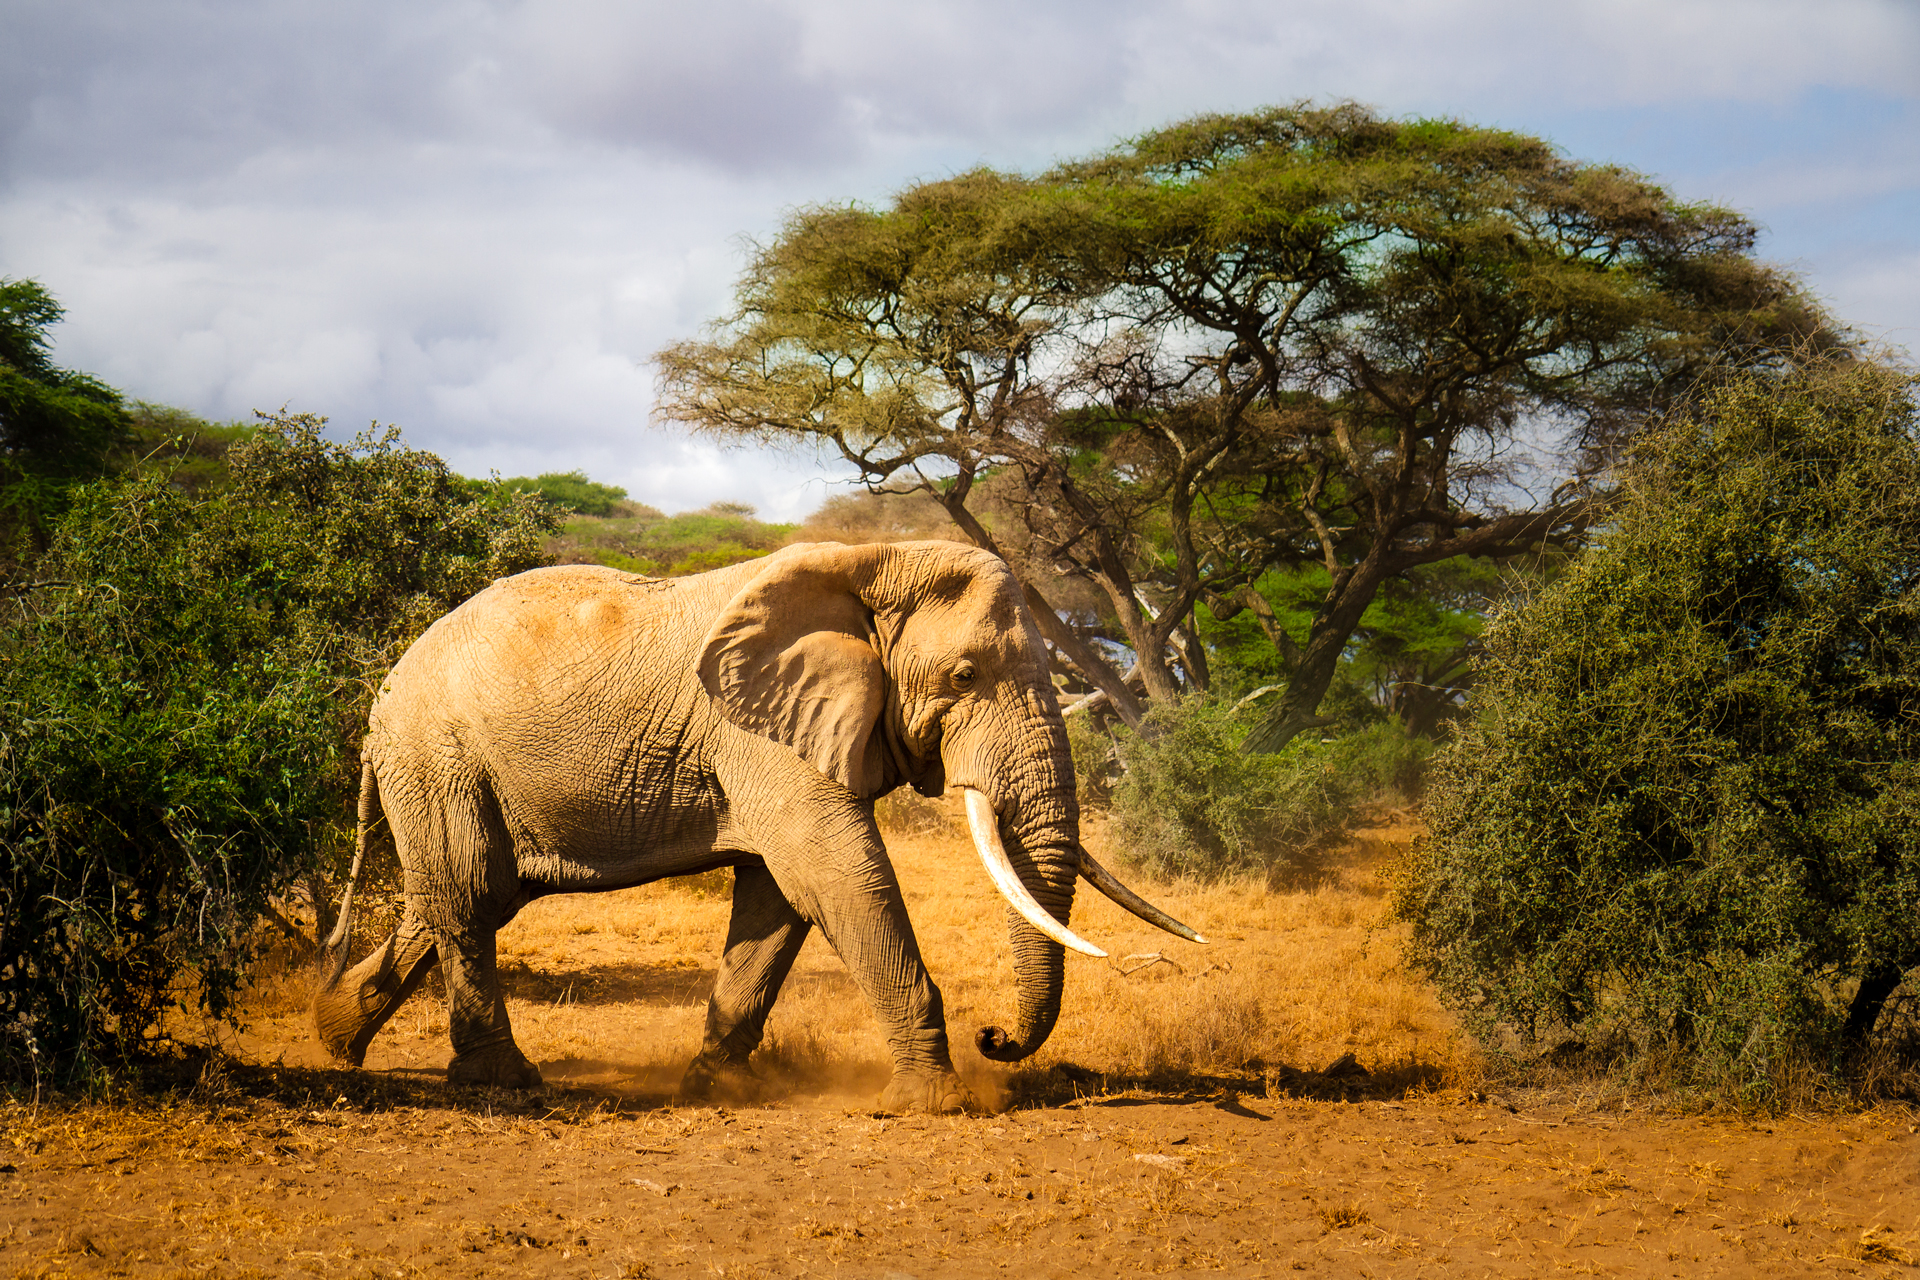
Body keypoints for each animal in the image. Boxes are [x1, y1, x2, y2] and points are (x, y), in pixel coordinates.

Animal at [312, 537, 1198, 1113]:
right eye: (964, 676)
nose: (996, 1038)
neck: (875, 558)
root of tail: (379, 699)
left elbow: (778, 899)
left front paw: (720, 1088)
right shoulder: (761, 732)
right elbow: (837, 870)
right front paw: (933, 1105)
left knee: (460, 898)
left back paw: (336, 1037)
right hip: (438, 756)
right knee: (467, 896)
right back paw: (503, 1082)